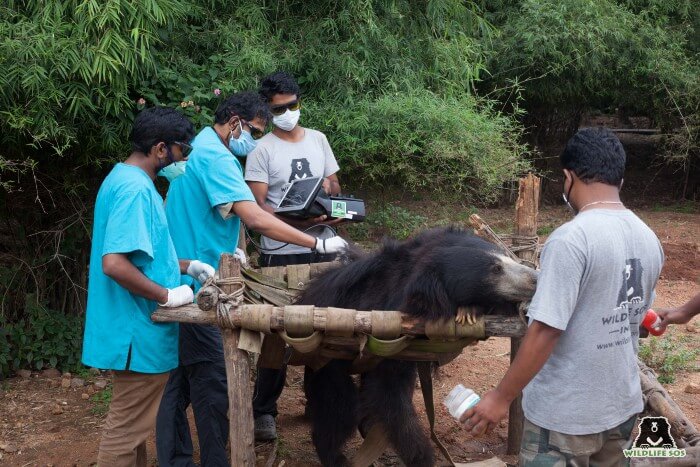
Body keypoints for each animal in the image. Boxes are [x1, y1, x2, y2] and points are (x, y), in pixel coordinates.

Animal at [296, 228, 536, 467]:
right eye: (495, 269)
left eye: (504, 256)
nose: (536, 278)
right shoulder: (387, 336)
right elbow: (390, 394)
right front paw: (422, 457)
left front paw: (470, 310)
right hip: (329, 354)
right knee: (339, 406)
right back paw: (336, 455)